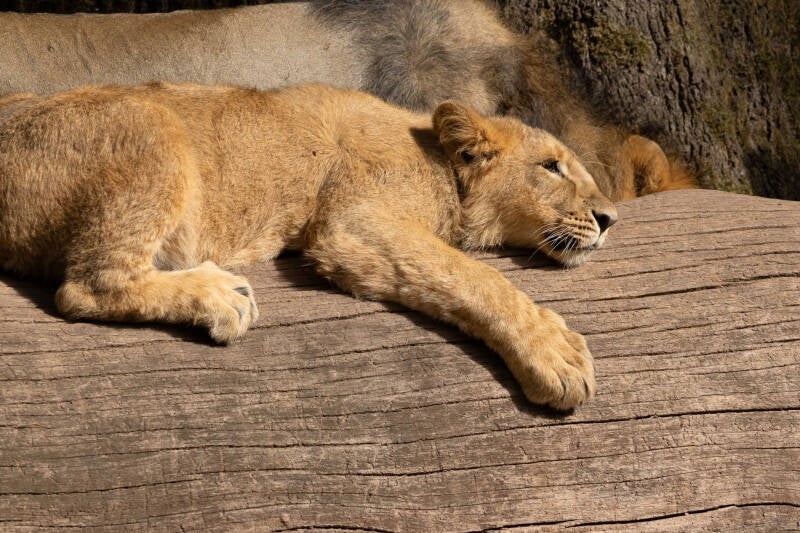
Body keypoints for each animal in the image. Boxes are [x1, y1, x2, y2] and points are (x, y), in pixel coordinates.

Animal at [0, 82, 618, 410]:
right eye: (551, 167)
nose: (610, 217)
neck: (438, 158)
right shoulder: (353, 220)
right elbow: (474, 275)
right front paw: (556, 354)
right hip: (151, 121)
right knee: (85, 286)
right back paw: (220, 296)